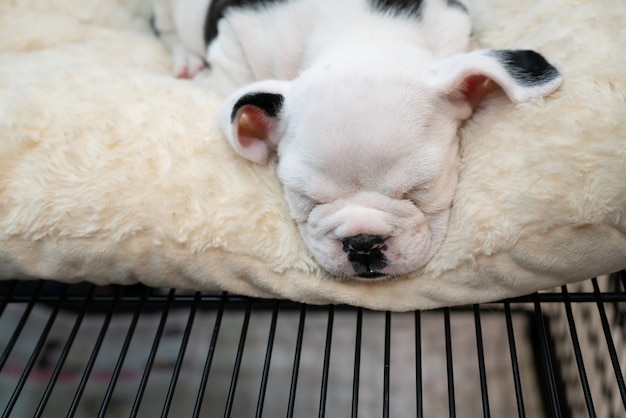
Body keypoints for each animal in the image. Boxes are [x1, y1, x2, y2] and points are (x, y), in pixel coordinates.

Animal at [151, 0, 560, 280]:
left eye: (420, 190)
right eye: (308, 199)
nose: (363, 243)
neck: (361, 36)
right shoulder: (237, 40)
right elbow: (229, 81)